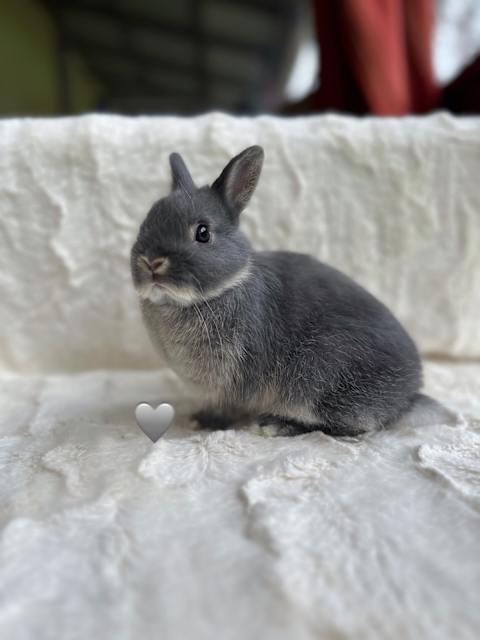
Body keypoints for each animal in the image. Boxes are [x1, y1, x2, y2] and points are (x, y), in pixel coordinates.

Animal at [130, 146, 458, 437]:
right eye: (147, 221)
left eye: (203, 233)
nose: (151, 262)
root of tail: (407, 399)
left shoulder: (234, 381)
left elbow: (227, 408)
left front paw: (204, 422)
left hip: (319, 377)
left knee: (353, 427)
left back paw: (277, 425)